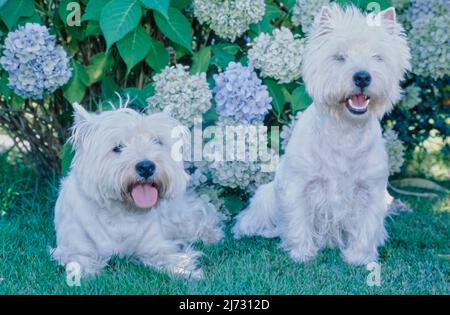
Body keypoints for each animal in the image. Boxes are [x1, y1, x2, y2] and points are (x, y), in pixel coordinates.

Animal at [52, 103, 225, 278]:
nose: (146, 167)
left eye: (157, 141)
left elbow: (169, 257)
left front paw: (187, 271)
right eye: (117, 147)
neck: (121, 214)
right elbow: (80, 262)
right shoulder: (76, 247)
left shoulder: (155, 245)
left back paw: (211, 235)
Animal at [232, 5, 412, 266]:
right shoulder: (300, 185)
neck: (346, 131)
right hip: (266, 197)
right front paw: (302, 253)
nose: (362, 77)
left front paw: (359, 257)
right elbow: (299, 220)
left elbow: (366, 227)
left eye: (377, 57)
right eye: (340, 57)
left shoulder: (371, 190)